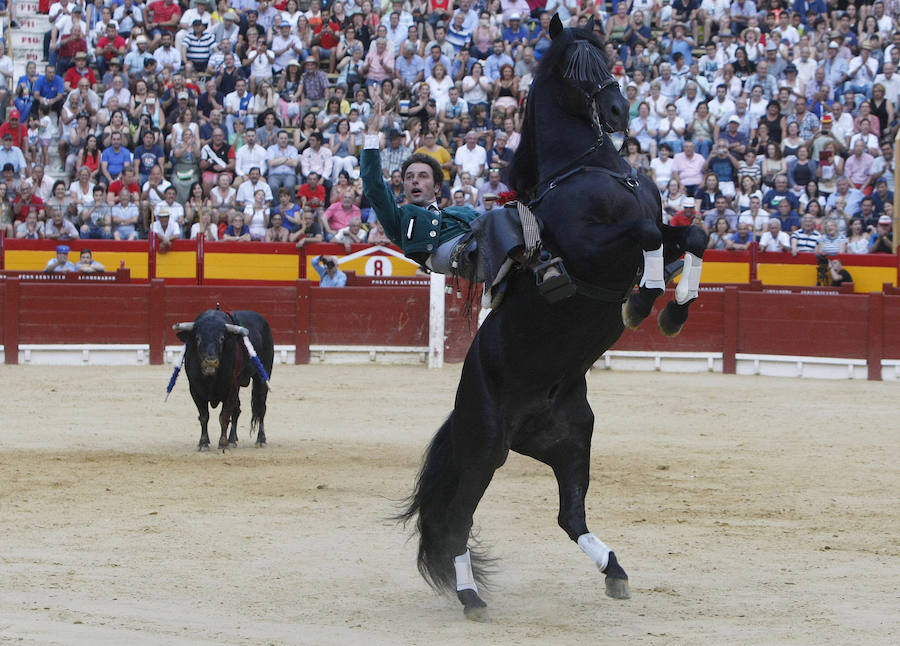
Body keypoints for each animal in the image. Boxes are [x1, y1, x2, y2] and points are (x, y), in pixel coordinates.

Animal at [174, 310, 274, 450]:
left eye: (221, 339)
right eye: (198, 338)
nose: (210, 362)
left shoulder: (230, 388)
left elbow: (224, 417)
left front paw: (222, 443)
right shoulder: (195, 389)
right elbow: (204, 416)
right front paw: (203, 443)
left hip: (262, 376)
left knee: (260, 407)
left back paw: (260, 439)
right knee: (237, 409)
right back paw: (232, 440)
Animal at [400, 15, 704, 624]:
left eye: (605, 58)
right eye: (573, 68)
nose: (617, 110)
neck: (592, 167)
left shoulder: (654, 230)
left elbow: (695, 234)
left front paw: (676, 309)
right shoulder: (593, 250)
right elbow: (649, 234)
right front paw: (643, 302)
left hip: (573, 439)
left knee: (570, 515)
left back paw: (615, 572)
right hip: (485, 445)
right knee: (460, 520)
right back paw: (472, 598)